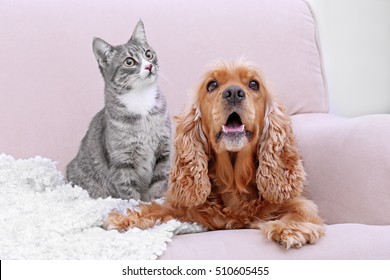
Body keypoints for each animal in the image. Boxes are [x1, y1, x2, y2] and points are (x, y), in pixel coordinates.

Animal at [66, 20, 171, 201]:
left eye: (148, 54)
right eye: (129, 62)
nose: (149, 66)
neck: (141, 101)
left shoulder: (163, 151)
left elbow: (160, 181)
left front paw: (157, 202)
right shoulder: (121, 160)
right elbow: (128, 189)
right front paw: (136, 205)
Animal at [103, 60, 322, 248]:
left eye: (254, 84)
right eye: (212, 85)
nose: (233, 92)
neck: (233, 182)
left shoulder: (294, 203)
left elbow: (301, 211)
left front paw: (290, 229)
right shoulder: (186, 209)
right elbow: (157, 209)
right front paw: (125, 217)